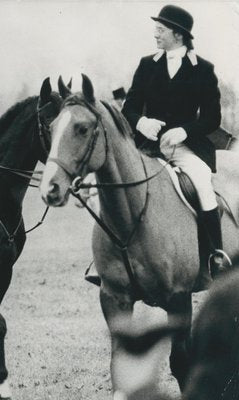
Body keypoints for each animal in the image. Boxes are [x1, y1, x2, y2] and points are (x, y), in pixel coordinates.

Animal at [40, 75, 239, 396]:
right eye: (52, 127)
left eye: (82, 128)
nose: (51, 189)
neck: (130, 220)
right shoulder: (114, 300)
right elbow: (120, 369)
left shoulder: (179, 300)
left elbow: (181, 364)